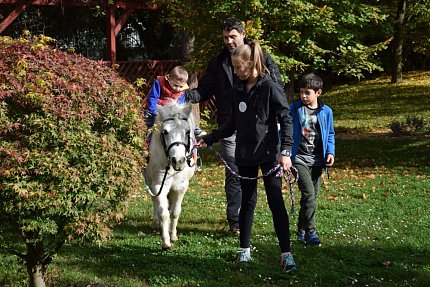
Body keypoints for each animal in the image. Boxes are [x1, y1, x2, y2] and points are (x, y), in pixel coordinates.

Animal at [145, 102, 197, 251]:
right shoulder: (159, 185)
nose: (178, 160)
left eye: (187, 131)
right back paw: (156, 222)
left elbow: (175, 212)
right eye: (165, 132)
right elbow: (164, 213)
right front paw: (166, 242)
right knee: (154, 201)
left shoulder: (181, 187)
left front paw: (173, 235)